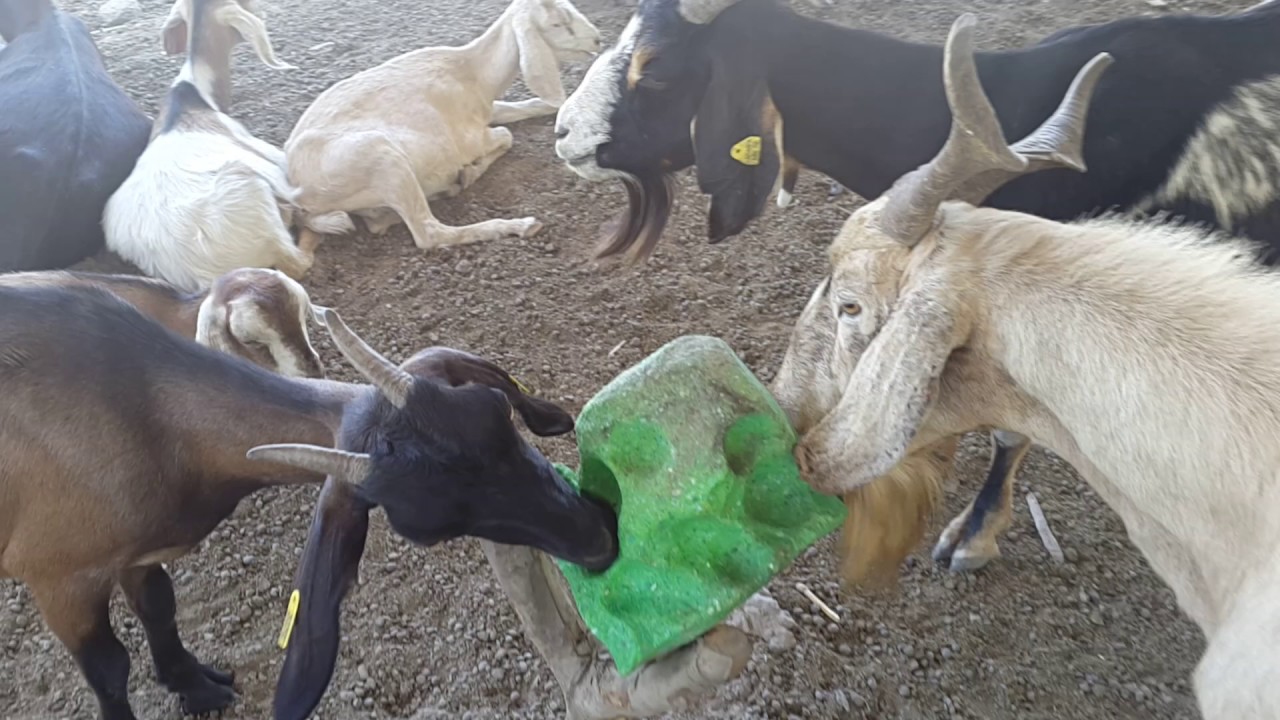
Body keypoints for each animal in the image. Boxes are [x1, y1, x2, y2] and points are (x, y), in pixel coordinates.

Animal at [0, 286, 617, 720]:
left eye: (497, 411)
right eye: (423, 527)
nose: (599, 538)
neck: (142, 412)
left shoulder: (140, 552)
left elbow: (159, 607)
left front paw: (195, 686)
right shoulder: (60, 576)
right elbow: (108, 667)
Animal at [283, 0, 600, 250]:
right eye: (558, 23)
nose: (597, 39)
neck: (473, 74)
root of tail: (299, 193)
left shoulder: (488, 108)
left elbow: (530, 109)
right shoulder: (469, 137)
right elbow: (506, 135)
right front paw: (470, 171)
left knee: (381, 223)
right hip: (382, 159)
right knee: (428, 234)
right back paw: (516, 224)